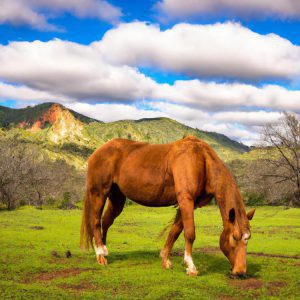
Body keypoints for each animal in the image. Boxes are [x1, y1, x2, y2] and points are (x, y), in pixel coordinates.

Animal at [80, 136, 255, 276]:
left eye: (248, 239)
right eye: (234, 237)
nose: (240, 272)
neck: (200, 158)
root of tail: (97, 152)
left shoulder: (188, 204)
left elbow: (175, 231)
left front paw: (165, 259)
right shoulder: (185, 200)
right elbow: (189, 233)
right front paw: (190, 267)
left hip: (117, 198)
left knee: (106, 222)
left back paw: (103, 250)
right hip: (99, 193)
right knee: (95, 221)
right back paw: (100, 254)